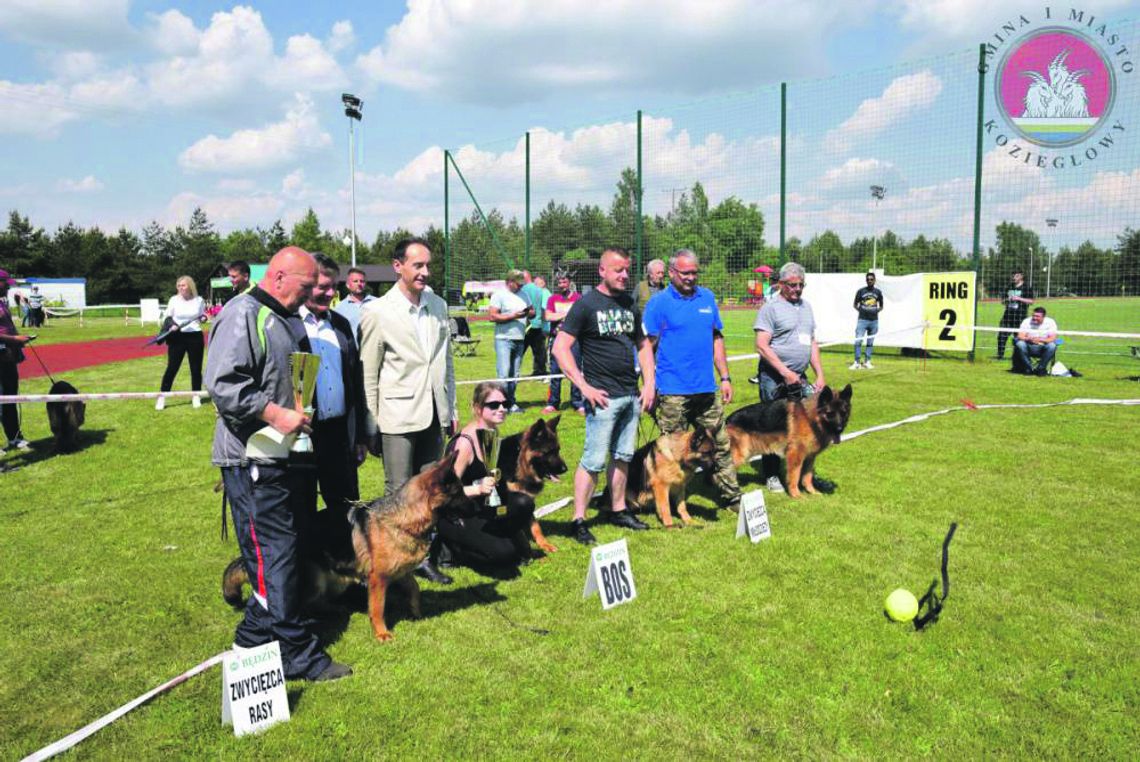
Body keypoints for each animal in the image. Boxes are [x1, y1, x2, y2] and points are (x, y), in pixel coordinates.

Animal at [224, 451, 465, 643]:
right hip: (316, 582)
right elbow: (377, 608)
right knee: (307, 604)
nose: (475, 506)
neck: (403, 519)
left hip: (338, 580)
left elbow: (414, 589)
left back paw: (337, 608)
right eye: (460, 494)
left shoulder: (400, 571)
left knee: (320, 602)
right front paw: (381, 633)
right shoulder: (378, 579)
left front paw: (416, 612)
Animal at [499, 417, 570, 554]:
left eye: (558, 450)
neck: (520, 464)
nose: (565, 469)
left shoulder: (527, 500)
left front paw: (544, 544)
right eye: (549, 452)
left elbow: (536, 526)